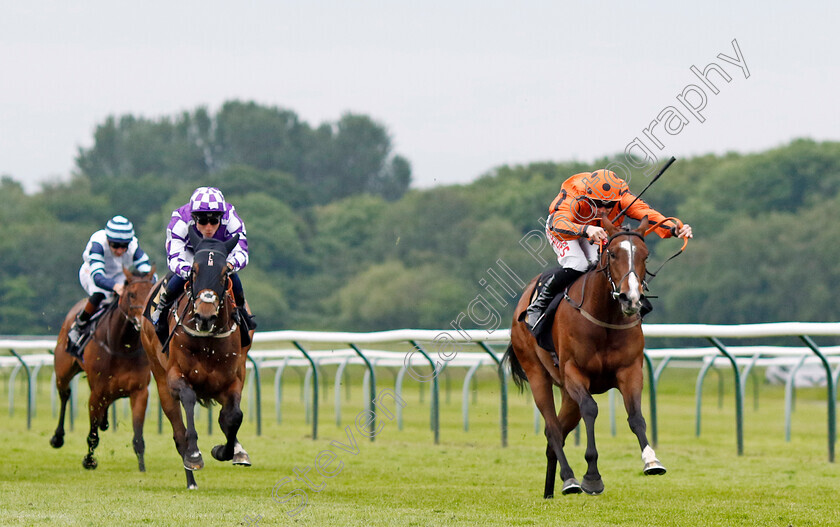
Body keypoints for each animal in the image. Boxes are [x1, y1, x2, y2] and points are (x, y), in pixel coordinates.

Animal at [51, 268, 158, 470]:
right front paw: (89, 460)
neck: (121, 346)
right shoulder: (97, 393)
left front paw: (142, 467)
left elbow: (138, 437)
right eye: (131, 294)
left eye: (150, 293)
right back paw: (57, 437)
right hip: (63, 371)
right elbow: (92, 435)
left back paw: (105, 422)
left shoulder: (139, 391)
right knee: (65, 394)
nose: (143, 321)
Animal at [140, 232, 253, 490]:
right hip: (160, 379)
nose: (204, 316)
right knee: (178, 432)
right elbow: (189, 401)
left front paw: (225, 450)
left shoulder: (233, 379)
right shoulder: (175, 376)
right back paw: (191, 479)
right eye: (193, 271)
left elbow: (233, 416)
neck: (208, 341)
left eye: (224, 273)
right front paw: (194, 455)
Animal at [506, 217, 668, 498]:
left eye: (645, 255)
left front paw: (651, 460)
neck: (604, 317)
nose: (631, 298)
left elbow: (636, 416)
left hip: (568, 395)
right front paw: (592, 476)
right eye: (612, 254)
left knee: (557, 432)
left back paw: (550, 490)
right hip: (537, 374)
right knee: (553, 430)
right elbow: (591, 409)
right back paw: (569, 479)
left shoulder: (630, 370)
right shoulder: (574, 372)